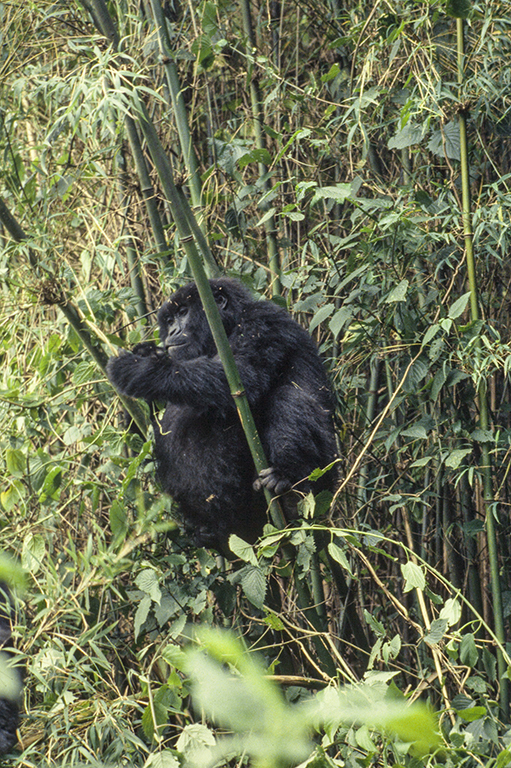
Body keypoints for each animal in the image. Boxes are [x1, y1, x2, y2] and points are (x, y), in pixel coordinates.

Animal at [107, 280, 338, 548]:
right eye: (169, 320)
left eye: (183, 312)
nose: (172, 332)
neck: (225, 327)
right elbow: (143, 438)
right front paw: (146, 354)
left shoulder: (263, 321)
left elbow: (237, 379)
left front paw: (140, 368)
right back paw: (208, 531)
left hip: (328, 473)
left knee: (289, 399)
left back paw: (287, 482)